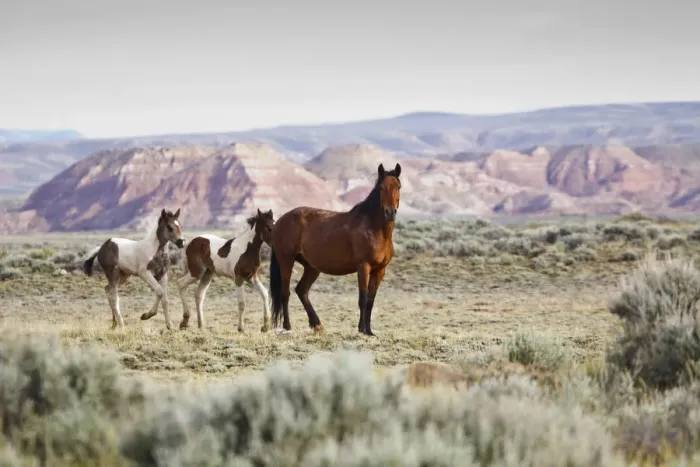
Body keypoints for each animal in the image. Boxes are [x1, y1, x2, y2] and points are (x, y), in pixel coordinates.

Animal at [268, 162, 401, 336]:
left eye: (398, 186)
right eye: (381, 188)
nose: (390, 212)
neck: (373, 228)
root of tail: (279, 222)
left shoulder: (379, 270)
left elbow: (371, 301)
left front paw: (369, 331)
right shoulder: (363, 267)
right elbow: (362, 299)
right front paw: (362, 329)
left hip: (311, 267)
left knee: (301, 290)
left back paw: (317, 324)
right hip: (286, 262)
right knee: (286, 294)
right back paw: (288, 326)